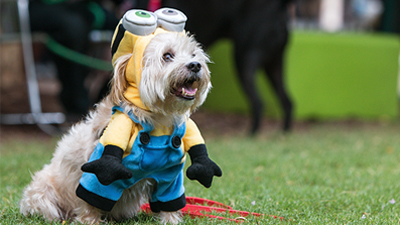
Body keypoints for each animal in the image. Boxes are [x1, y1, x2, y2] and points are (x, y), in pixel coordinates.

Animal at [19, 7, 222, 224]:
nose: (195, 65)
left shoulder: (169, 177)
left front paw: (171, 221)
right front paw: (90, 221)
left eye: (193, 54)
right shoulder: (100, 172)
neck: (158, 122)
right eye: (167, 56)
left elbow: (169, 205)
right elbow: (91, 202)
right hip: (42, 194)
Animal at [161, 0, 296, 134]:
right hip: (274, 65)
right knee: (287, 102)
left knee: (258, 103)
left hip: (245, 59)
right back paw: (284, 132)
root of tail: (279, 4)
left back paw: (251, 134)